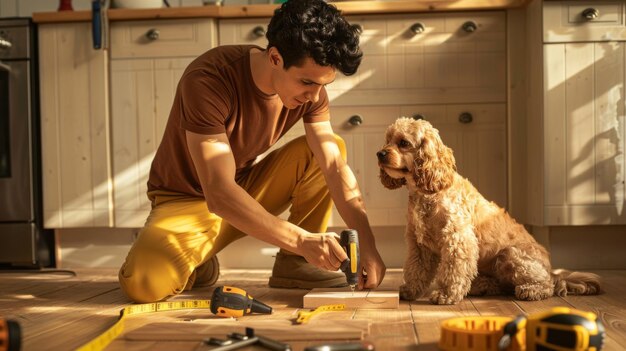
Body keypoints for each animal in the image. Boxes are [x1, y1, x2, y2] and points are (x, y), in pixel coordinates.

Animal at [376, 118, 600, 306]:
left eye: (403, 143)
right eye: (387, 141)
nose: (380, 154)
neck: (428, 192)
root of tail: (552, 270)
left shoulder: (457, 239)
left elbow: (452, 270)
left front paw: (445, 295)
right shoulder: (419, 244)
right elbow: (416, 270)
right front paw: (409, 291)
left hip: (510, 255)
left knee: (547, 284)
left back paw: (531, 290)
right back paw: (482, 286)